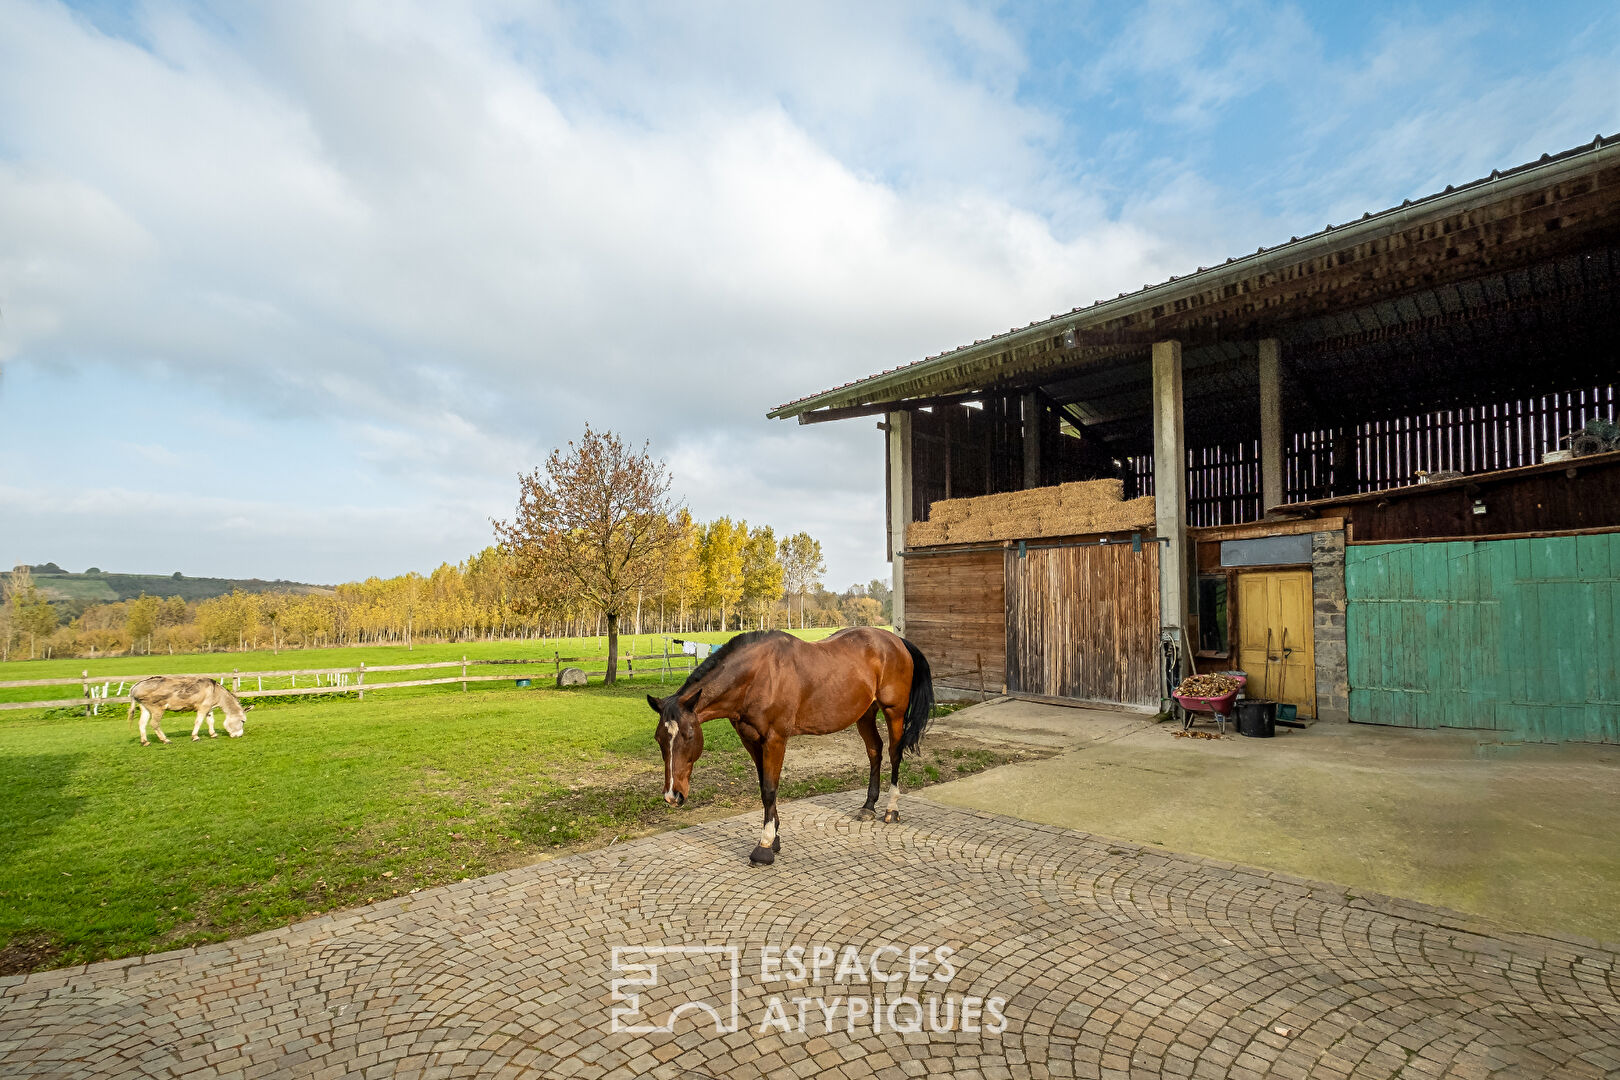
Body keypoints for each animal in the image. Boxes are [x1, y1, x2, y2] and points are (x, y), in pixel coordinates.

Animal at [648, 628, 939, 867]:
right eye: (659, 739)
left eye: (688, 735)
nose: (673, 795)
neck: (757, 676)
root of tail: (896, 641)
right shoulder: (750, 739)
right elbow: (764, 786)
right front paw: (774, 838)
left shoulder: (775, 739)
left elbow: (769, 789)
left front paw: (764, 846)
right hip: (865, 713)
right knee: (874, 751)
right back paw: (868, 806)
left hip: (894, 712)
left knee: (894, 753)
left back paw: (891, 810)